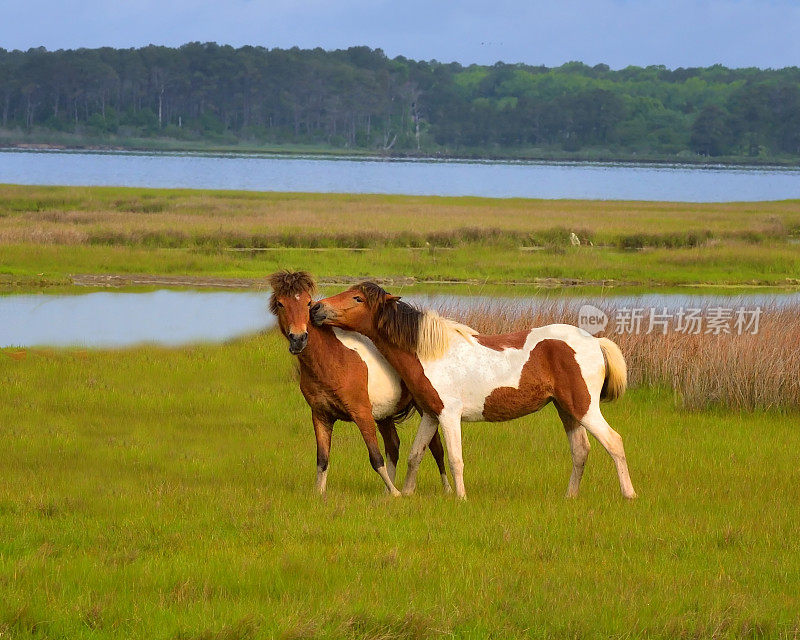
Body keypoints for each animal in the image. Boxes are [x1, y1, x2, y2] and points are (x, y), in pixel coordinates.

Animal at [268, 270, 454, 496]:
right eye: (280, 303)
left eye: (307, 302)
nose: (298, 339)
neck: (333, 359)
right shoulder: (321, 416)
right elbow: (322, 459)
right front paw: (319, 494)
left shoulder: (362, 414)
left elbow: (375, 458)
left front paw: (396, 494)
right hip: (385, 415)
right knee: (394, 445)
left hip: (423, 408)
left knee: (436, 447)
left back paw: (446, 489)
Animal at [312, 284, 636, 500]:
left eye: (357, 298)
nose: (316, 308)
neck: (431, 353)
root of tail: (594, 342)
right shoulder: (431, 415)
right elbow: (416, 455)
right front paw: (406, 494)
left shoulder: (449, 415)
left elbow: (455, 459)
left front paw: (460, 498)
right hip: (566, 410)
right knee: (580, 450)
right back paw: (570, 497)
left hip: (584, 408)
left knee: (615, 442)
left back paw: (629, 495)